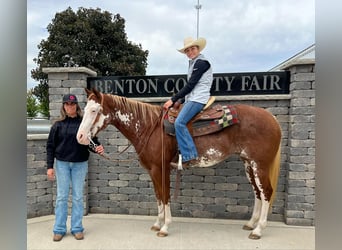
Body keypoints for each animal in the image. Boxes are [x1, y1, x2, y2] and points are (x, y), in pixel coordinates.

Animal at [77, 87, 280, 239]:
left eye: (94, 110)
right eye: (84, 110)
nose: (80, 137)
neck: (149, 127)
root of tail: (272, 119)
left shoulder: (161, 169)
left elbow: (165, 195)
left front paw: (165, 227)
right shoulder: (153, 170)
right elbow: (158, 195)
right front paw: (157, 224)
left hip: (259, 165)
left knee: (266, 192)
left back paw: (258, 230)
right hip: (249, 164)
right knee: (257, 193)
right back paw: (251, 224)